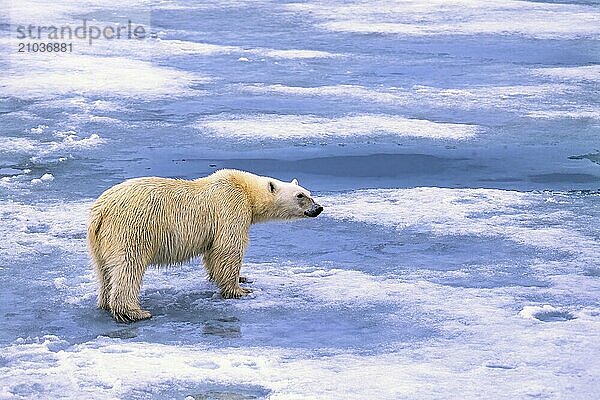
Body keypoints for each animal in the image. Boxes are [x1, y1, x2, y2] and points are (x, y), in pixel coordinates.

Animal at [86, 168, 322, 322]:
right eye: (300, 196)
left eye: (308, 192)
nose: (318, 208)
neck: (246, 190)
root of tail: (102, 209)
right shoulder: (231, 207)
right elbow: (228, 247)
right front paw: (240, 289)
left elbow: (212, 253)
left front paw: (241, 277)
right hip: (133, 228)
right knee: (129, 266)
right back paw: (134, 312)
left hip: (98, 240)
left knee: (104, 270)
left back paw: (105, 302)